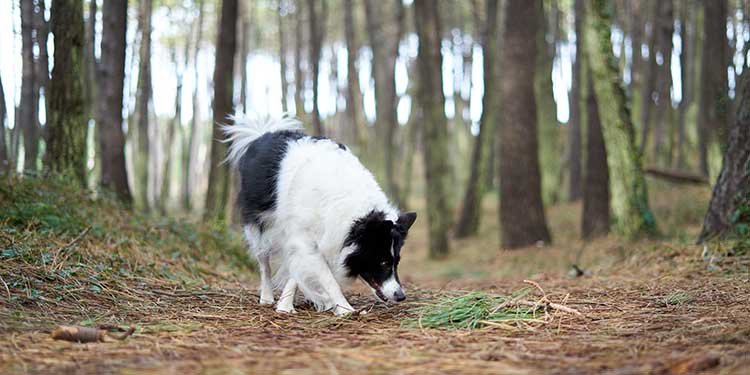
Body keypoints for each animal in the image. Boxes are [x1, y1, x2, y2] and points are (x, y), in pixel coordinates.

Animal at [226, 115, 420, 318]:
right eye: (383, 262)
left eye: (397, 262)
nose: (401, 296)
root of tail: (263, 134)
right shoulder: (304, 239)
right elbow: (328, 279)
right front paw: (344, 309)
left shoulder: (313, 239)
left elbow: (299, 271)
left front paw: (288, 304)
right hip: (258, 227)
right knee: (264, 263)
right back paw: (267, 297)